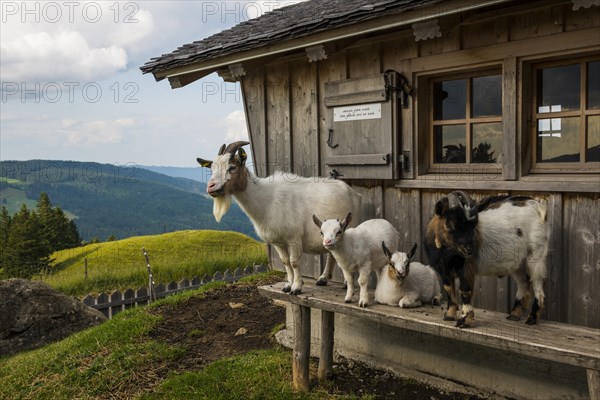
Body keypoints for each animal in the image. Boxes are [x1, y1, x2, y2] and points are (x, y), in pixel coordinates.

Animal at [199, 142, 364, 296]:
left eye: (232, 167)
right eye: (211, 168)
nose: (211, 187)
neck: (267, 200)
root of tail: (355, 194)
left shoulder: (294, 238)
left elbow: (294, 262)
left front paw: (296, 287)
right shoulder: (277, 241)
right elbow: (285, 262)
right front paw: (287, 285)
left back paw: (344, 283)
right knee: (331, 254)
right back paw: (323, 278)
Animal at [426, 191, 548, 328]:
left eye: (473, 226)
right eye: (453, 224)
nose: (470, 249)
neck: (447, 253)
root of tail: (536, 206)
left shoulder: (466, 268)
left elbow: (465, 291)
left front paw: (464, 320)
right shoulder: (444, 271)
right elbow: (449, 288)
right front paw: (449, 315)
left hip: (536, 255)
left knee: (538, 284)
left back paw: (531, 318)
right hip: (518, 263)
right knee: (524, 282)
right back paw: (514, 314)